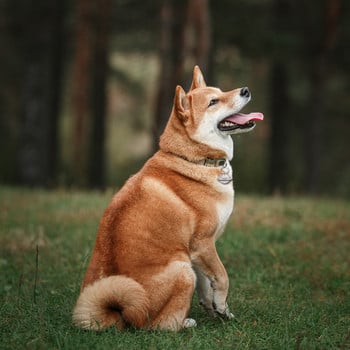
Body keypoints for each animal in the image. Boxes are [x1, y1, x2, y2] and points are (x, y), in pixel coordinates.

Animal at [72, 65, 262, 330]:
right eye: (213, 102)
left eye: (221, 91)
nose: (245, 90)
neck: (195, 160)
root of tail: (118, 315)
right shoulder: (204, 244)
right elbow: (223, 277)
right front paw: (221, 305)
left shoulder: (195, 252)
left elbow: (206, 285)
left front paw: (216, 309)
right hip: (182, 270)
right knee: (160, 326)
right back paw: (184, 323)